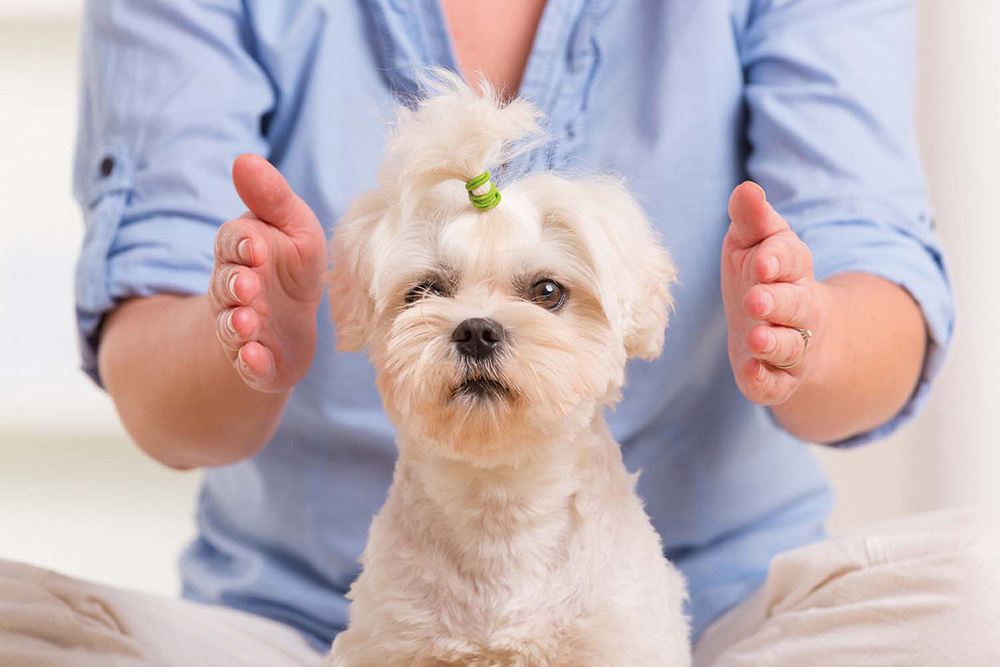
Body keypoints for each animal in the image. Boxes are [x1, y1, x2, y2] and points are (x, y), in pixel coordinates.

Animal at [324, 74, 692, 667]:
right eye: (424, 290)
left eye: (547, 291)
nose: (476, 330)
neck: (499, 512)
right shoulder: (391, 640)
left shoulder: (617, 636)